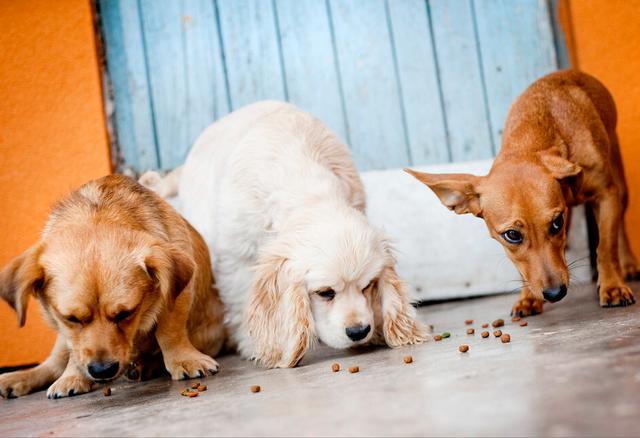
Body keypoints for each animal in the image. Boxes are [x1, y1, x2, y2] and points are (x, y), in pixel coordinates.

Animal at [0, 175, 225, 396]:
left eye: (126, 313)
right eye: (71, 318)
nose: (102, 370)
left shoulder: (177, 296)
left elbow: (169, 330)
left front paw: (184, 359)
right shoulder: (65, 329)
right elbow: (75, 350)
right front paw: (72, 376)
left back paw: (146, 365)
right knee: (53, 364)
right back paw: (21, 377)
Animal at [142, 101, 428, 368]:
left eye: (368, 286)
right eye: (325, 293)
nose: (359, 331)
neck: (306, 189)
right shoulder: (236, 258)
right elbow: (241, 299)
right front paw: (256, 345)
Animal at [408, 69, 636, 314]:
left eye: (556, 223)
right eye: (512, 235)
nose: (555, 293)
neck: (532, 137)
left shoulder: (606, 195)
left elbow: (606, 247)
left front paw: (613, 287)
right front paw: (528, 297)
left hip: (620, 187)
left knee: (620, 228)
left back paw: (629, 264)